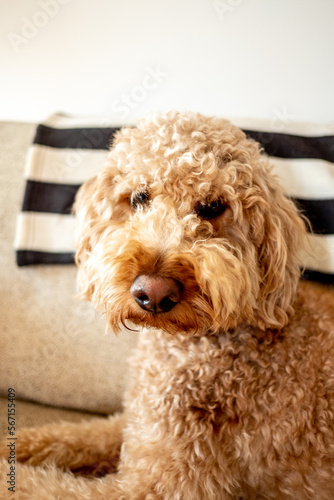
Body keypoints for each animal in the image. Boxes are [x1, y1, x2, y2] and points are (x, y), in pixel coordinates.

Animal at [1, 113, 334, 500]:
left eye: (212, 206)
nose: (153, 292)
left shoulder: (154, 485)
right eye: (138, 198)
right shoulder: (138, 423)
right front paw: (12, 444)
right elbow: (73, 435)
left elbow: (39, 486)